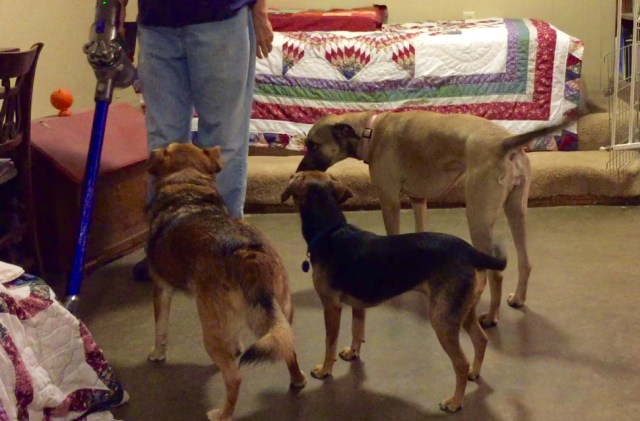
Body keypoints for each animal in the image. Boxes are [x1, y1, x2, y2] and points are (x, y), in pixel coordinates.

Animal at [146, 144, 306, 420]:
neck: (187, 189)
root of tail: (246, 254)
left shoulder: (161, 288)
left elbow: (160, 328)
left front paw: (158, 354)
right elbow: (235, 338)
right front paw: (236, 346)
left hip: (211, 333)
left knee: (234, 378)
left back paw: (221, 414)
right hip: (280, 317)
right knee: (288, 350)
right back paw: (297, 380)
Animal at [282, 170, 508, 410]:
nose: (291, 174)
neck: (330, 231)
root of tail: (473, 252)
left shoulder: (331, 306)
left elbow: (329, 343)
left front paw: (325, 370)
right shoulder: (357, 305)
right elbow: (357, 330)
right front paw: (353, 353)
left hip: (443, 320)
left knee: (461, 363)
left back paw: (455, 401)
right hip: (462, 312)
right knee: (481, 340)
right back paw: (475, 372)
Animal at [296, 110, 568, 324]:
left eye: (313, 144)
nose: (298, 171)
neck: (369, 131)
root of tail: (506, 142)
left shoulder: (389, 201)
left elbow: (392, 233)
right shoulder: (419, 200)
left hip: (478, 215)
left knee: (496, 274)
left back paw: (491, 317)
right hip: (517, 212)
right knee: (525, 261)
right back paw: (519, 298)